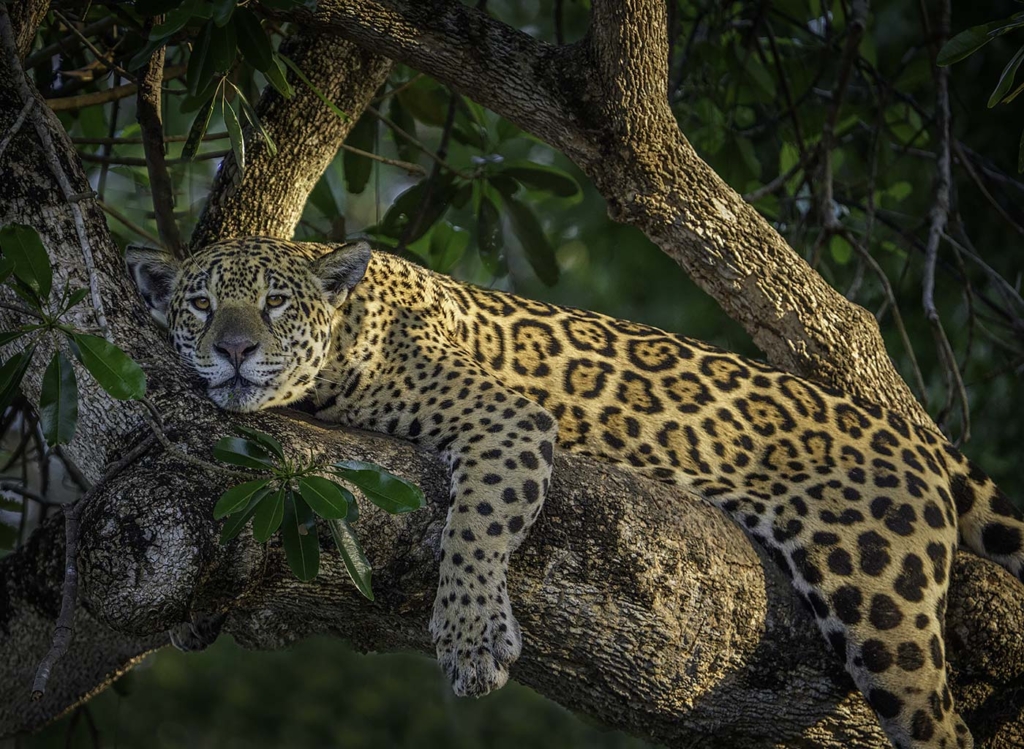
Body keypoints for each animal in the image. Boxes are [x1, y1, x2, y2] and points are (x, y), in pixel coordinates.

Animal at [126, 236, 1024, 749]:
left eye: (276, 304)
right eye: (201, 303)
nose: (235, 349)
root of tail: (912, 432)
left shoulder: (506, 419)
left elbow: (476, 526)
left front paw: (471, 637)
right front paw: (198, 614)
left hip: (882, 596)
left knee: (939, 723)